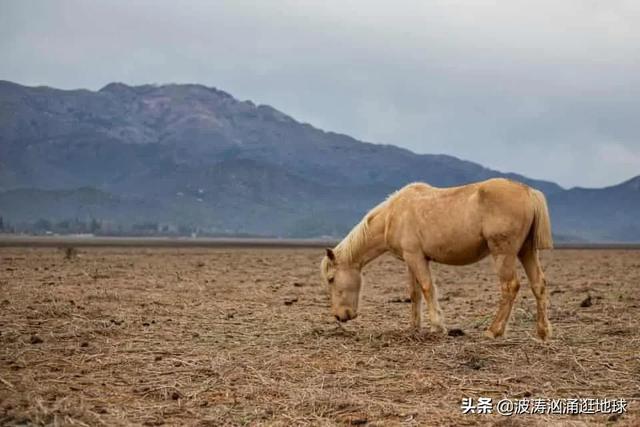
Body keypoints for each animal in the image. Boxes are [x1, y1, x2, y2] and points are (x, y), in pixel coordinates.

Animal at [322, 177, 552, 342]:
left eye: (331, 279)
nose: (339, 316)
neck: (392, 215)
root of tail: (528, 191)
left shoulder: (416, 257)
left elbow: (427, 288)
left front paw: (437, 326)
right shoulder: (410, 260)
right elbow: (414, 293)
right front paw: (414, 327)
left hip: (503, 253)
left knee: (510, 286)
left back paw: (493, 331)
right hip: (526, 251)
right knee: (538, 285)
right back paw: (542, 333)